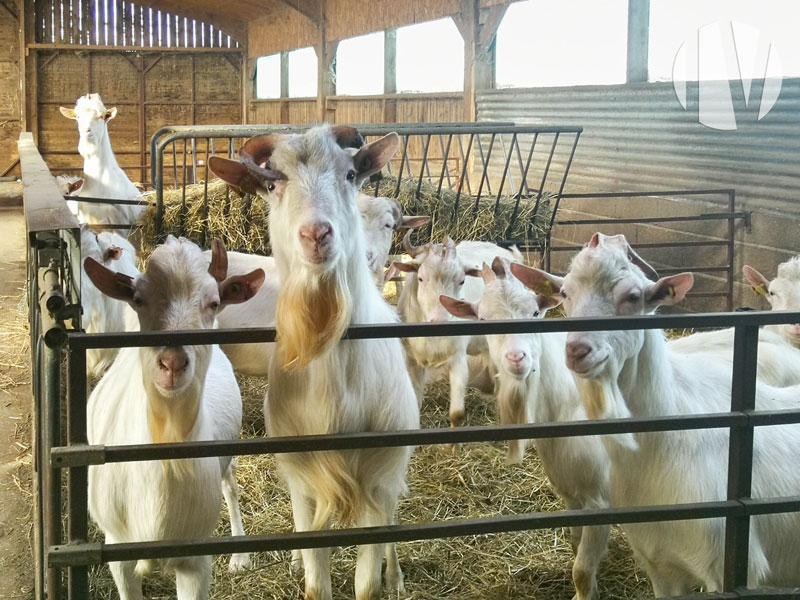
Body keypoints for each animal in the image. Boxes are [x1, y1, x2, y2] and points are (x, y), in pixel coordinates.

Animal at [60, 94, 145, 237]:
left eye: (101, 116)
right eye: (78, 116)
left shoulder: (120, 224)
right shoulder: (88, 221)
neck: (100, 184)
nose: (86, 131)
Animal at [84, 237, 264, 599]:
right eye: (138, 299)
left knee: (230, 486)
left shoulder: (195, 561)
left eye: (213, 303)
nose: (172, 363)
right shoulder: (117, 550)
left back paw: (240, 555)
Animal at [208, 125, 419, 600]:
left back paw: (397, 574)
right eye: (271, 184)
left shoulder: (376, 478)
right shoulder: (304, 478)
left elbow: (367, 584)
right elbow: (315, 582)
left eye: (350, 174)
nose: (317, 234)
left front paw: (386, 577)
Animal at [393, 235, 517, 427]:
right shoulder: (412, 360)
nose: (440, 321)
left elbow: (457, 414)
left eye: (462, 281)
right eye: (420, 278)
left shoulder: (458, 359)